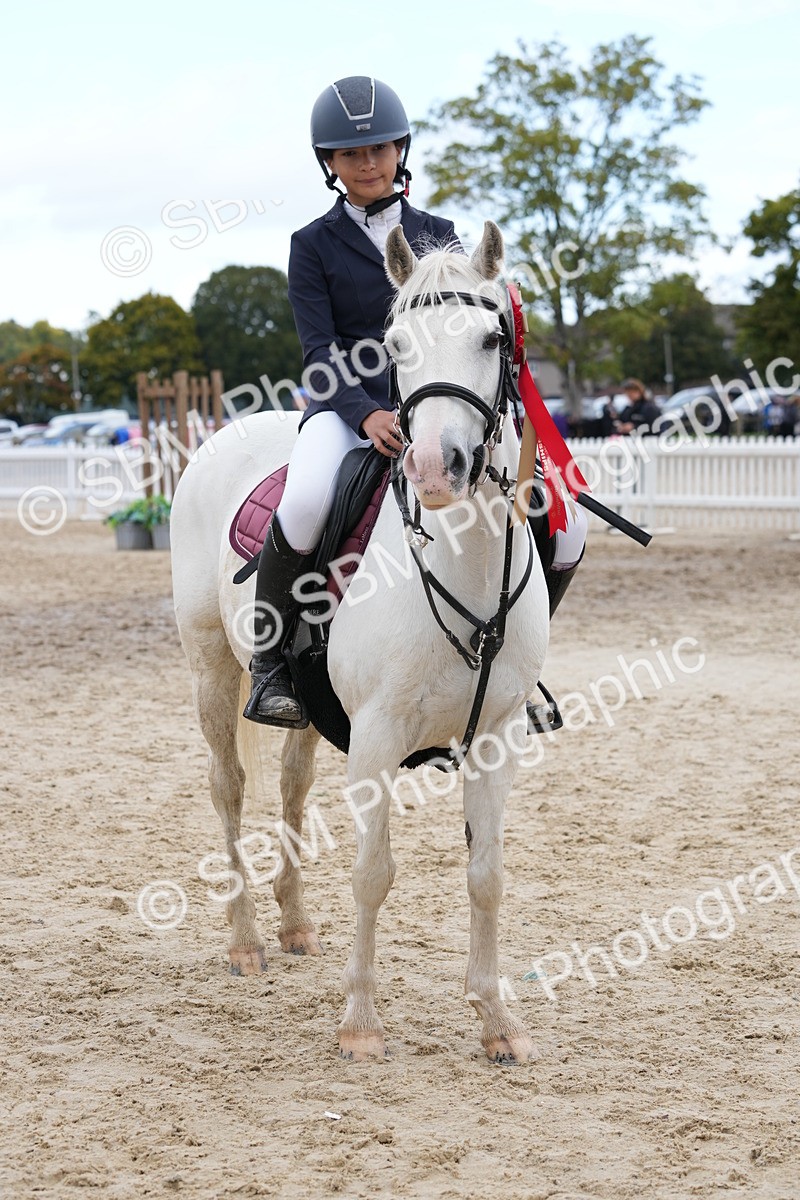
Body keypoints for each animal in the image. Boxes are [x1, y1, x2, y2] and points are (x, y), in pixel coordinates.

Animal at [170, 220, 550, 1063]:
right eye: (395, 345)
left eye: (490, 338)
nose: (437, 469)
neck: (461, 561)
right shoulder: (376, 737)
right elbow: (375, 873)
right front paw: (362, 1024)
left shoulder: (498, 737)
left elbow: (487, 874)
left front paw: (498, 1021)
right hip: (210, 665)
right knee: (228, 787)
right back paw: (247, 940)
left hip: (307, 708)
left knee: (289, 784)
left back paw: (295, 925)